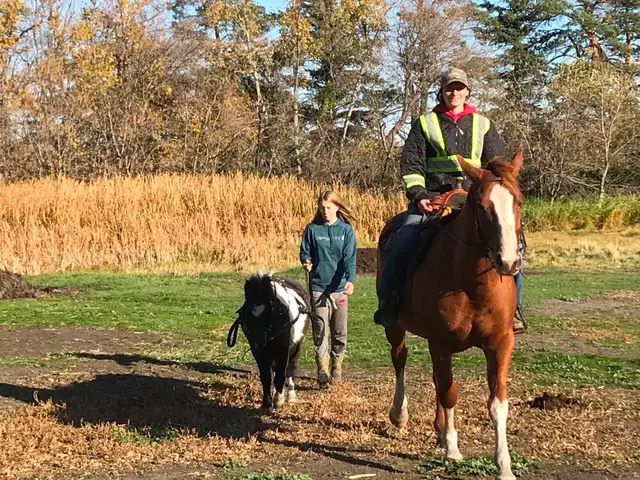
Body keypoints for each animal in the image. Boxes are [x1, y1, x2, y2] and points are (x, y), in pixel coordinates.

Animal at [227, 270, 311, 410]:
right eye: (246, 314)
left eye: (269, 313)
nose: (259, 343)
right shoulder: (259, 353)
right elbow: (266, 376)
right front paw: (266, 402)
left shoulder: (283, 350)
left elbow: (281, 374)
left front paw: (278, 400)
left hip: (296, 346)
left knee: (290, 369)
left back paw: (291, 396)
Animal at [378, 151, 524, 480]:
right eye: (482, 206)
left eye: (519, 201)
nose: (508, 261)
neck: (470, 282)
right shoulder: (441, 343)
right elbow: (449, 394)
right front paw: (453, 450)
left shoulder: (501, 343)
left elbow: (497, 403)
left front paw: (504, 465)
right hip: (395, 329)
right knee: (400, 359)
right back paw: (400, 414)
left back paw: (438, 431)